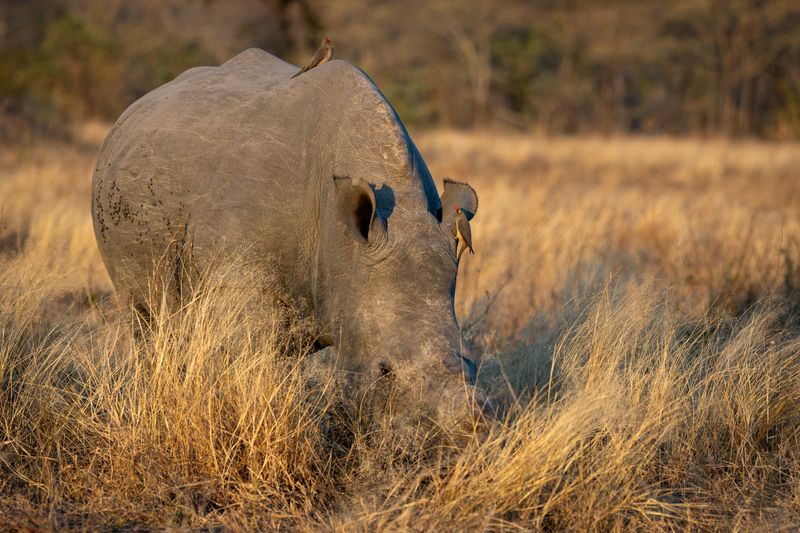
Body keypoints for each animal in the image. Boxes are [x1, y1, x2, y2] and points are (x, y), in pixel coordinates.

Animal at [91, 49, 486, 431]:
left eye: (472, 362)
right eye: (384, 371)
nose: (467, 429)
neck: (343, 243)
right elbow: (246, 370)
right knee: (145, 318)